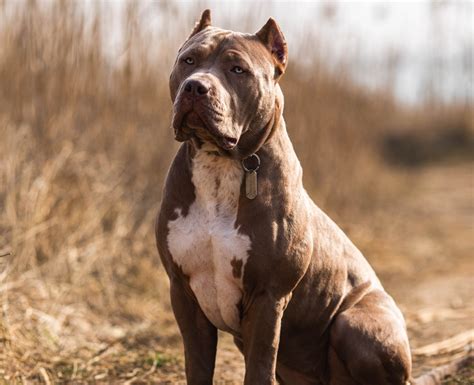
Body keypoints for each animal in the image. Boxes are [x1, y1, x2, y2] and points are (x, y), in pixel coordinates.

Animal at [156, 9, 414, 384]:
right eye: (188, 60)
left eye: (238, 69)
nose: (195, 86)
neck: (220, 162)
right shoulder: (183, 292)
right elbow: (198, 366)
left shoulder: (268, 295)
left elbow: (259, 367)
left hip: (356, 322)